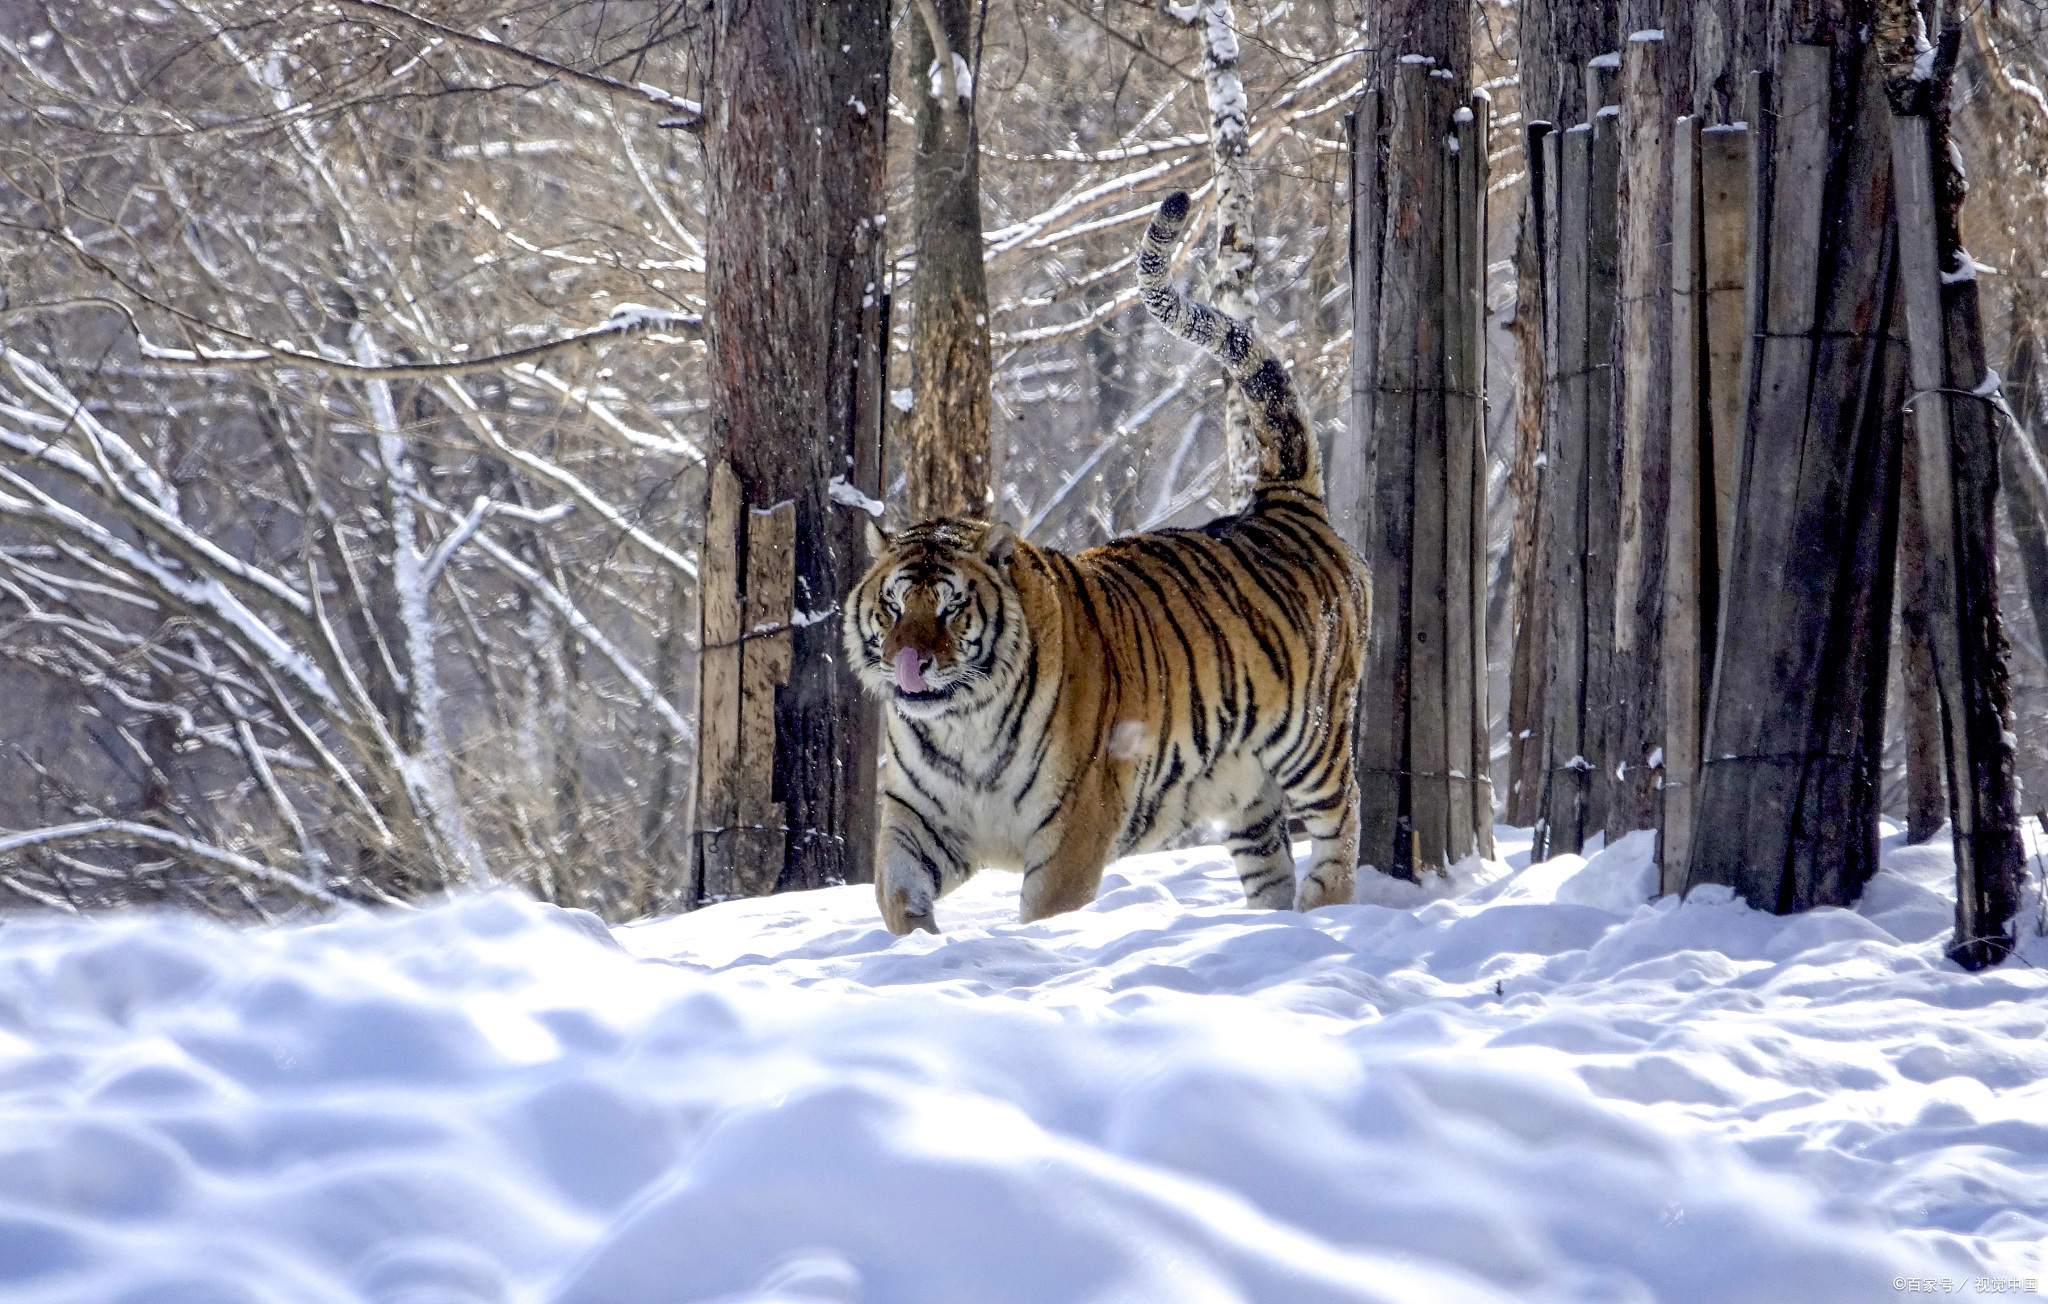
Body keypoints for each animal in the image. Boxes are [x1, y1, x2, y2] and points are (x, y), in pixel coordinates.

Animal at [839, 188, 1368, 929]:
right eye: (891, 608)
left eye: (948, 609)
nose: (909, 664)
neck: (961, 727)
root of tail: (1282, 500)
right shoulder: (920, 819)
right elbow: (896, 894)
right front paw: (922, 945)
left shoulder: (1074, 824)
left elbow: (1047, 912)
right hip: (1244, 791)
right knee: (1269, 865)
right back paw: (1275, 925)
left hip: (1312, 738)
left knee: (1341, 820)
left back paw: (1329, 912)